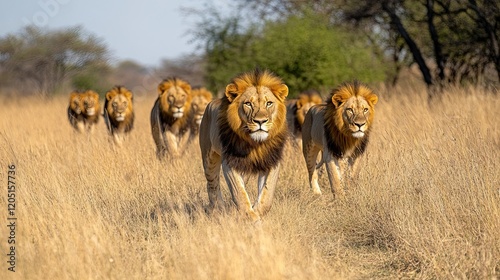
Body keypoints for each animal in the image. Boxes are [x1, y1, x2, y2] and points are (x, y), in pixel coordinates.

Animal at [197, 69, 288, 223]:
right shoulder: (229, 163)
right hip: (209, 158)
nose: (260, 121)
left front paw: (257, 212)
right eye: (248, 104)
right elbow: (239, 193)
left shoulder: (272, 161)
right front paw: (251, 216)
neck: (255, 143)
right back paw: (219, 209)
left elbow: (267, 195)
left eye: (269, 103)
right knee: (212, 185)